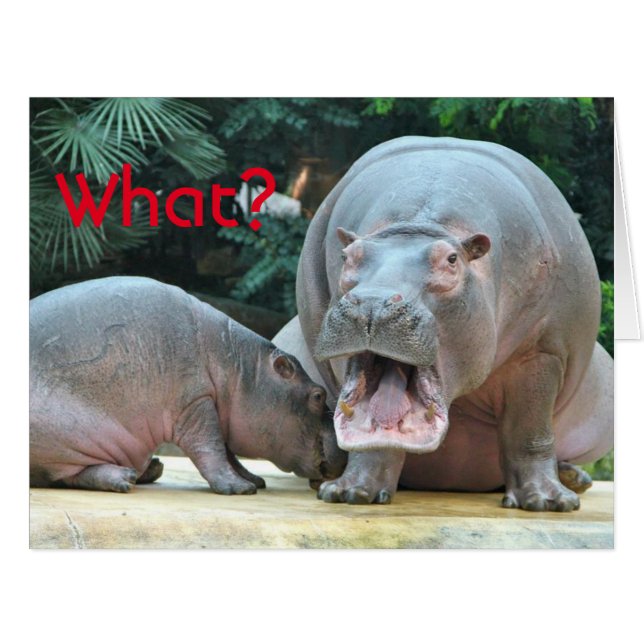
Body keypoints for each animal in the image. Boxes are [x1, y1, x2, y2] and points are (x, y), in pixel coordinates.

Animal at [30, 276, 346, 493]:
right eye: (318, 395)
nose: (345, 452)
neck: (240, 368)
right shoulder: (195, 403)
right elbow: (211, 448)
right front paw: (238, 488)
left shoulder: (217, 408)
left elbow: (229, 453)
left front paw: (253, 480)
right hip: (64, 430)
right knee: (66, 475)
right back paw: (125, 477)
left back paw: (149, 469)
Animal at [274, 136, 613, 511]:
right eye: (348, 256)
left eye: (451, 260)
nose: (373, 302)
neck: (419, 224)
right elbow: (372, 441)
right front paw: (350, 492)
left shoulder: (544, 351)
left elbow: (529, 428)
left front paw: (546, 502)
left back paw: (574, 479)